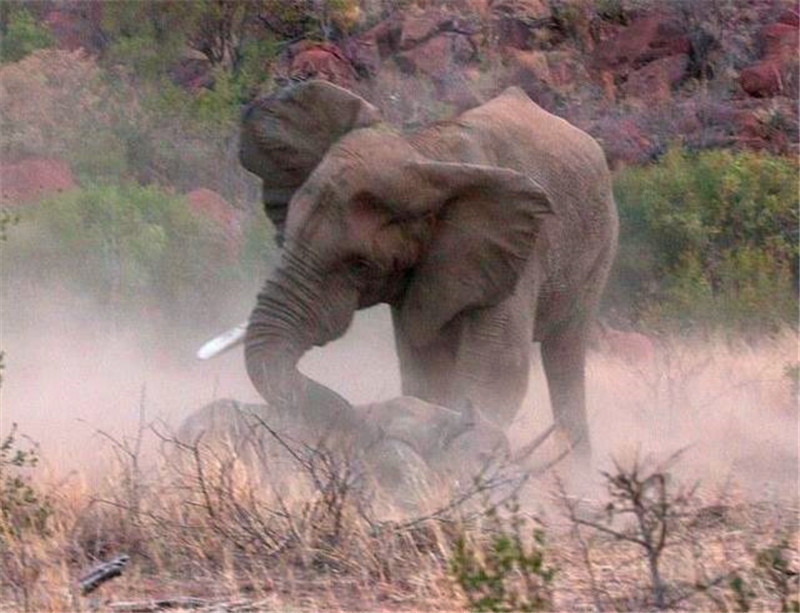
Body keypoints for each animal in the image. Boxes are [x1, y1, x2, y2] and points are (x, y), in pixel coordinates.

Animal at [236, 80, 620, 460]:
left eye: (360, 265)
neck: (424, 155)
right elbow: (424, 368)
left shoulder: (516, 252)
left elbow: (499, 373)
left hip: (599, 250)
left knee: (564, 355)